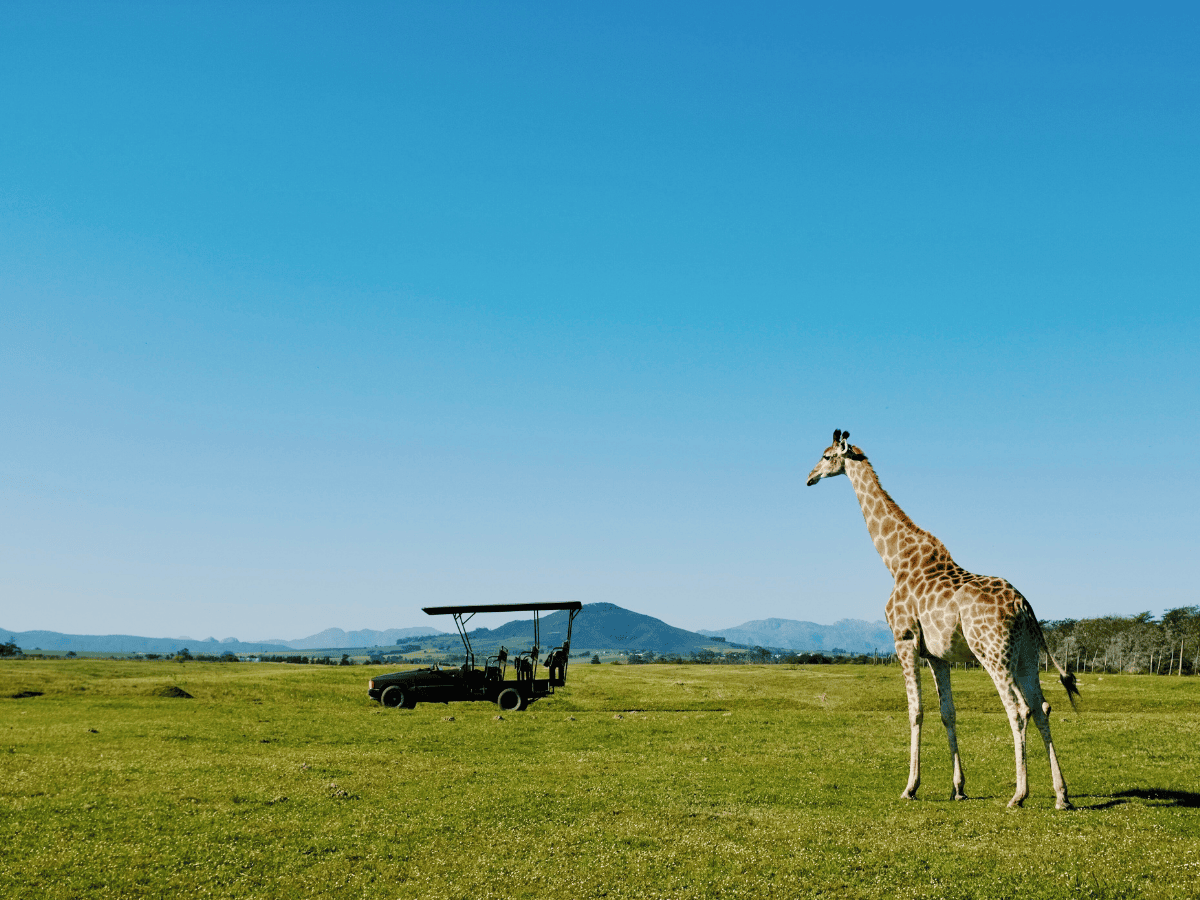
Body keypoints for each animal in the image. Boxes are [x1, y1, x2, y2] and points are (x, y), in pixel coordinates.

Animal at [806, 429, 1079, 809]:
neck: (895, 561)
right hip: (1026, 657)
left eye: (827, 455)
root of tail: (1026, 607)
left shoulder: (904, 640)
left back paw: (1019, 795)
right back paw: (1061, 795)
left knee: (1018, 709)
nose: (809, 477)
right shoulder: (938, 655)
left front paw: (910, 787)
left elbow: (916, 711)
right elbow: (948, 712)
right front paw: (958, 788)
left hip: (994, 654)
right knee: (1041, 707)